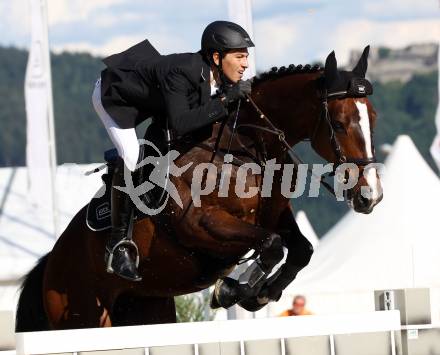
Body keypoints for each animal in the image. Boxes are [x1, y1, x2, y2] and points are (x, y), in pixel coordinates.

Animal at [16, 46, 382, 332]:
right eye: (338, 124)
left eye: (374, 118)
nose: (371, 196)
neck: (246, 146)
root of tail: (53, 258)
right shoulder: (200, 225)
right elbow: (271, 245)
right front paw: (232, 290)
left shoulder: (274, 217)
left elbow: (299, 249)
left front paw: (256, 293)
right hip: (82, 315)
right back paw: (122, 257)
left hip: (147, 309)